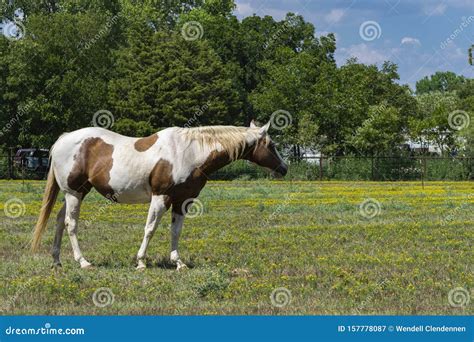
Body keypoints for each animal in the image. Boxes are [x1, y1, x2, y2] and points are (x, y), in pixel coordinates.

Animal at [31, 120, 288, 270]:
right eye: (272, 144)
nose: (284, 169)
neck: (189, 152)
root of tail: (64, 139)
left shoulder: (182, 201)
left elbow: (176, 231)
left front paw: (178, 262)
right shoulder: (160, 197)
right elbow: (150, 228)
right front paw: (141, 262)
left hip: (74, 193)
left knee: (59, 221)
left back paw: (57, 260)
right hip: (74, 193)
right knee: (70, 223)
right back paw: (83, 261)